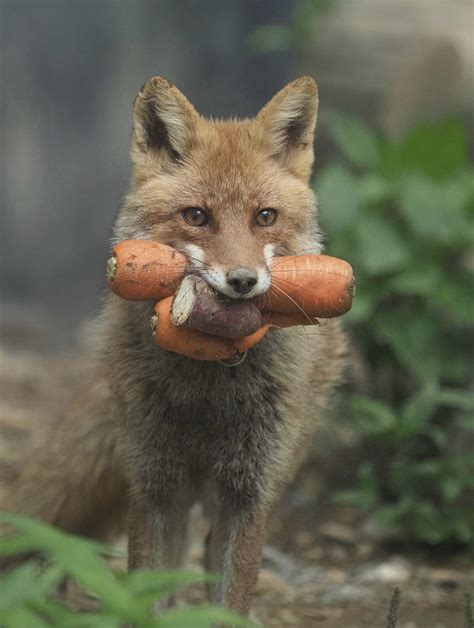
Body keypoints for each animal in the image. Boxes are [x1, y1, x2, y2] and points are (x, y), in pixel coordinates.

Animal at [0, 76, 348, 616]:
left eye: (265, 216)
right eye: (197, 216)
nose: (243, 281)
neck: (209, 381)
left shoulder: (248, 493)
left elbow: (229, 603)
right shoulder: (155, 484)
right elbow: (146, 596)